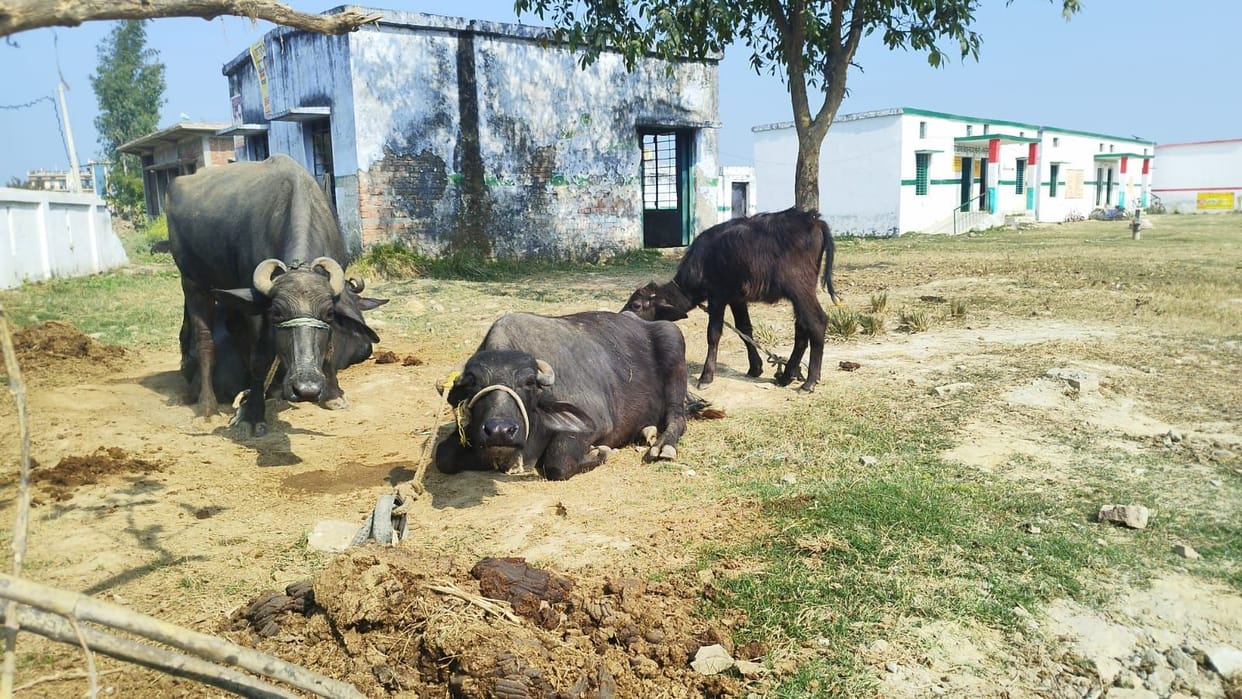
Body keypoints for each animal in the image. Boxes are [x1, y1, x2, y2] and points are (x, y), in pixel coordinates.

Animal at [167, 154, 386, 436]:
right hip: (193, 282)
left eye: (328, 314)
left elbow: (328, 347)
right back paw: (208, 408)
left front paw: (333, 395)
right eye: (277, 313)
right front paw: (253, 414)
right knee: (205, 342)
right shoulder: (255, 308)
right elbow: (258, 358)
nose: (306, 388)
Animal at [435, 311, 689, 481]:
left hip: (673, 345)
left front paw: (600, 452)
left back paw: (663, 446)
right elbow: (443, 456)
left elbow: (558, 461)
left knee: (677, 417)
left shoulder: (598, 424)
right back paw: (647, 431)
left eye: (528, 382)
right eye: (473, 384)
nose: (500, 431)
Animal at [625, 207, 839, 392]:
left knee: (817, 322)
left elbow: (713, 334)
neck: (703, 260)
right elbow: (745, 329)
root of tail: (813, 220)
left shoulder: (717, 296)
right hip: (799, 295)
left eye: (636, 305)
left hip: (800, 289)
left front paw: (706, 376)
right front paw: (755, 367)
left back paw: (809, 382)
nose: (622, 318)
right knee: (802, 329)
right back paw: (786, 376)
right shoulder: (737, 299)